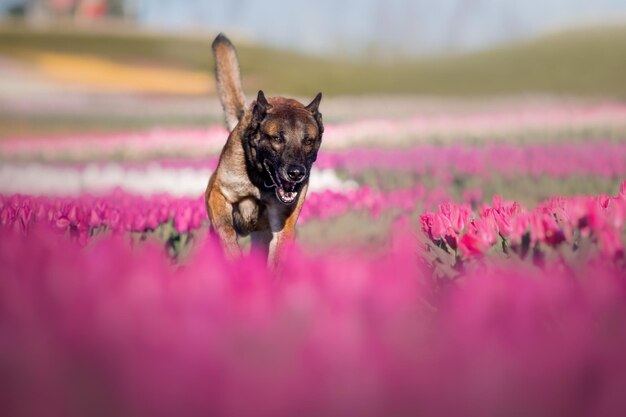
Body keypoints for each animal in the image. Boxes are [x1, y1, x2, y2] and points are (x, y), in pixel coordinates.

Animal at [206, 33, 324, 266]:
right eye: (277, 138)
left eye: (308, 141)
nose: (296, 173)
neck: (262, 182)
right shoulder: (217, 193)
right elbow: (225, 230)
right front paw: (234, 261)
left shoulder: (282, 225)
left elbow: (277, 258)